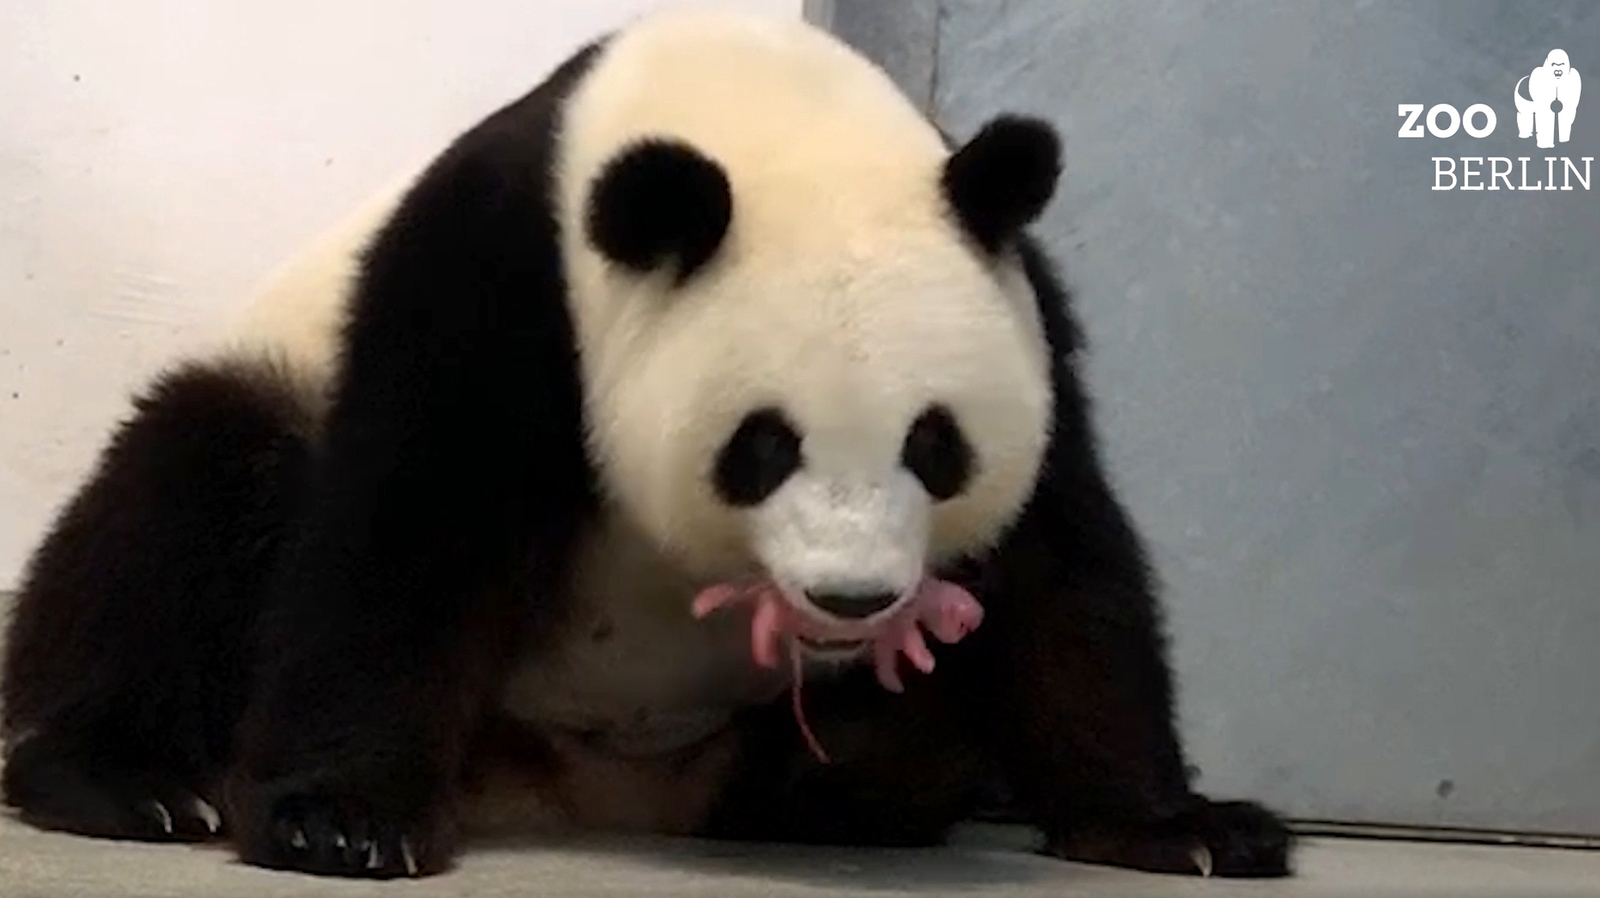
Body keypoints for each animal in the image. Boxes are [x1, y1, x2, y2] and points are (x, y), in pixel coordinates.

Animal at [0, 5, 1292, 882]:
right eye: (762, 446)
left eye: (936, 446)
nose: (855, 599)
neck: (754, 108)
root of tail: (583, 793)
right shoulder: (509, 272)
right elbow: (413, 523)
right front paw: (340, 819)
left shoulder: (1027, 315)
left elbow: (1061, 570)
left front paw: (1183, 826)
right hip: (265, 393)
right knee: (184, 506)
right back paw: (134, 782)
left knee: (911, 746)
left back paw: (821, 796)